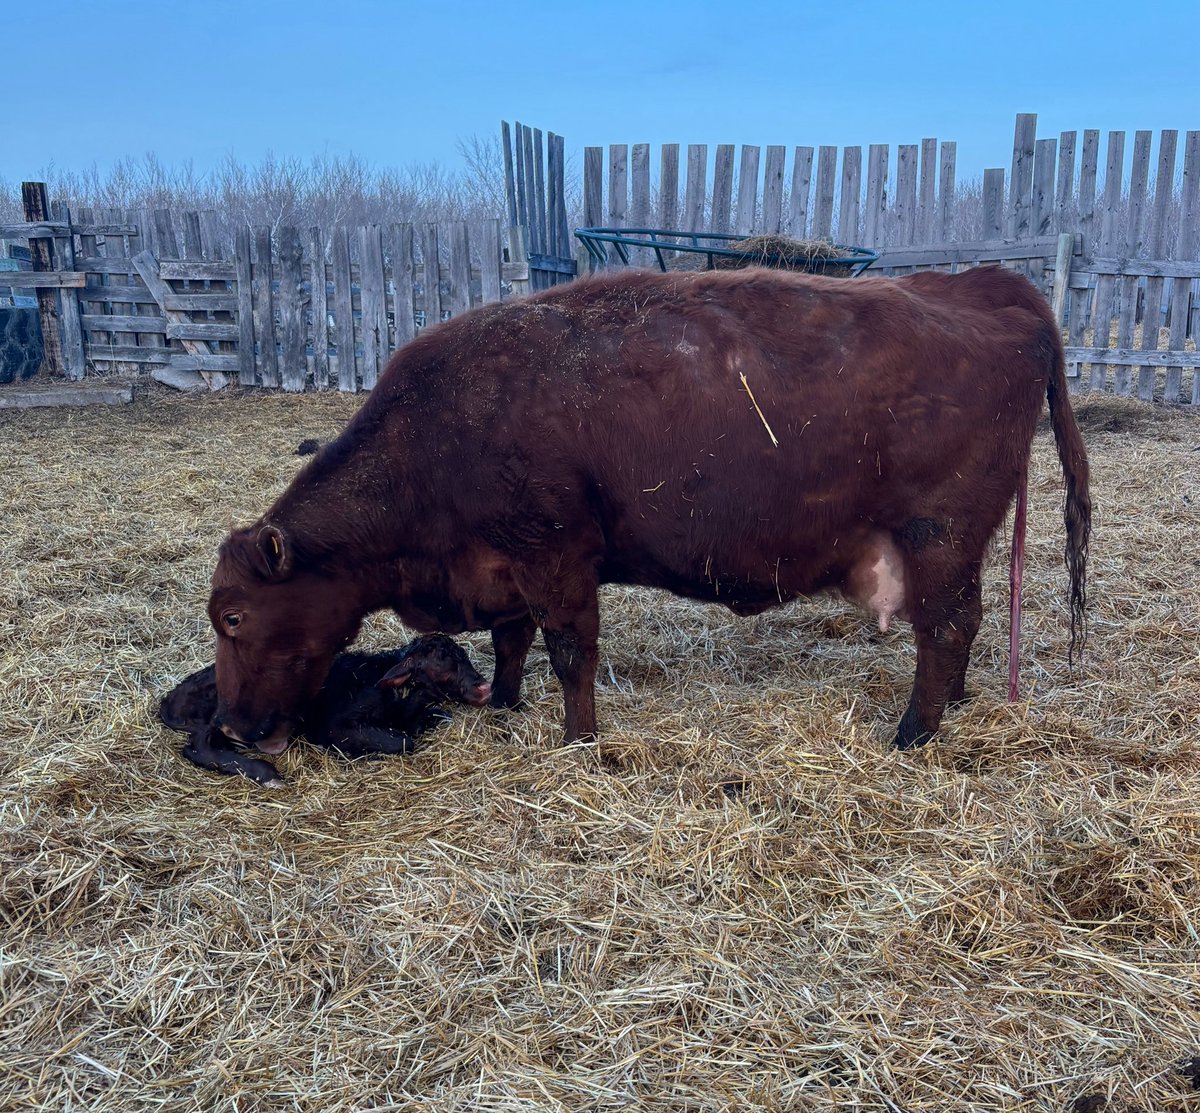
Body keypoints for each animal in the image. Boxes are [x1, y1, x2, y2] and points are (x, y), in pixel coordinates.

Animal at [160, 635, 491, 784]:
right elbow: (402, 741)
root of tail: (170, 700)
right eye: (444, 662)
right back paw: (264, 772)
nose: (484, 687)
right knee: (197, 747)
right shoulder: (331, 727)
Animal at [207, 265, 1090, 754]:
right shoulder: (505, 566)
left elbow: (570, 651)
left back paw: (914, 732)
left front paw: (578, 740)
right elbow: (512, 641)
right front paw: (508, 705)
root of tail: (990, 287)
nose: (229, 725)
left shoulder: (556, 553)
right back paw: (954, 707)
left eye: (233, 617)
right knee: (962, 623)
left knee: (947, 626)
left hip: (939, 531)